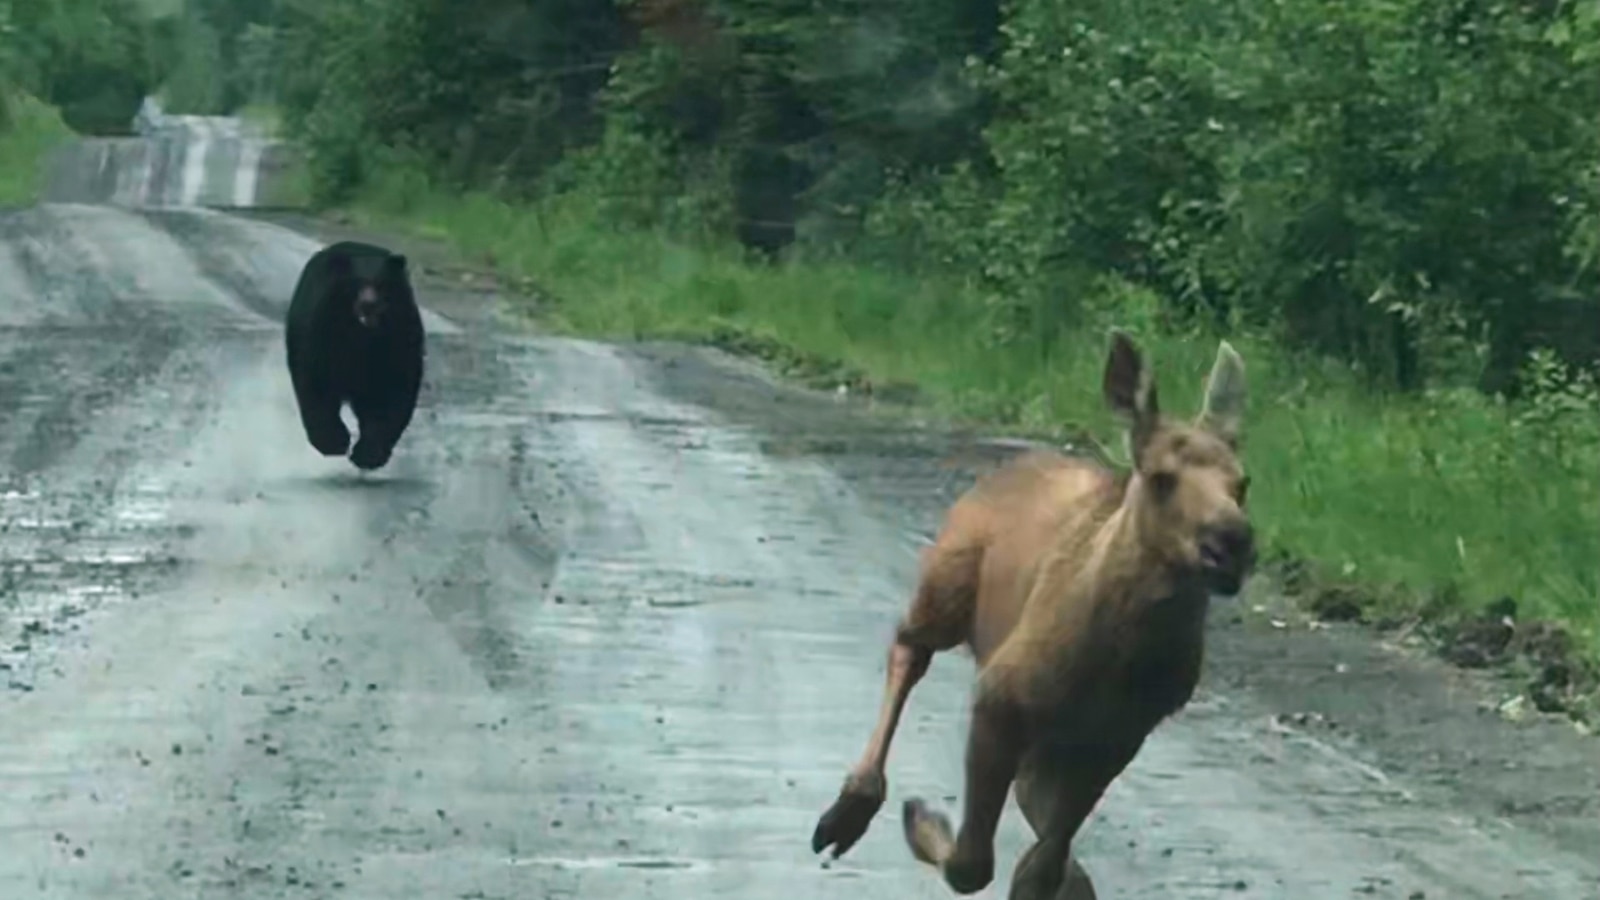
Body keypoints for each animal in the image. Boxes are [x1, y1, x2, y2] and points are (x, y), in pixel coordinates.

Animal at [284, 240, 425, 472]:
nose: (369, 304)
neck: (362, 335)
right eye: (356, 283)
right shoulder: (322, 332)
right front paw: (332, 442)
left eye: (381, 283)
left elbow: (394, 391)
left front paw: (368, 454)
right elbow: (316, 381)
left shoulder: (399, 338)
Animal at [810, 329, 1255, 899]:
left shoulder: (1118, 737)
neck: (1121, 658)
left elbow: (1044, 860)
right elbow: (974, 863)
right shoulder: (999, 696)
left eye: (1243, 483)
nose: (1232, 542)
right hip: (946, 582)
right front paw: (924, 821)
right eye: (1160, 477)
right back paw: (852, 809)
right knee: (911, 646)